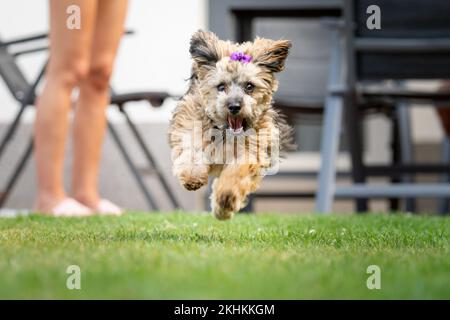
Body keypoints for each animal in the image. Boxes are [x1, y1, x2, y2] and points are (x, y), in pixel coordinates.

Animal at [169, 30, 296, 220]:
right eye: (221, 86)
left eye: (249, 86)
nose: (234, 106)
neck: (225, 133)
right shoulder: (191, 125)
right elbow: (193, 150)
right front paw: (193, 177)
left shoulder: (251, 150)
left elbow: (237, 173)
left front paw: (225, 200)